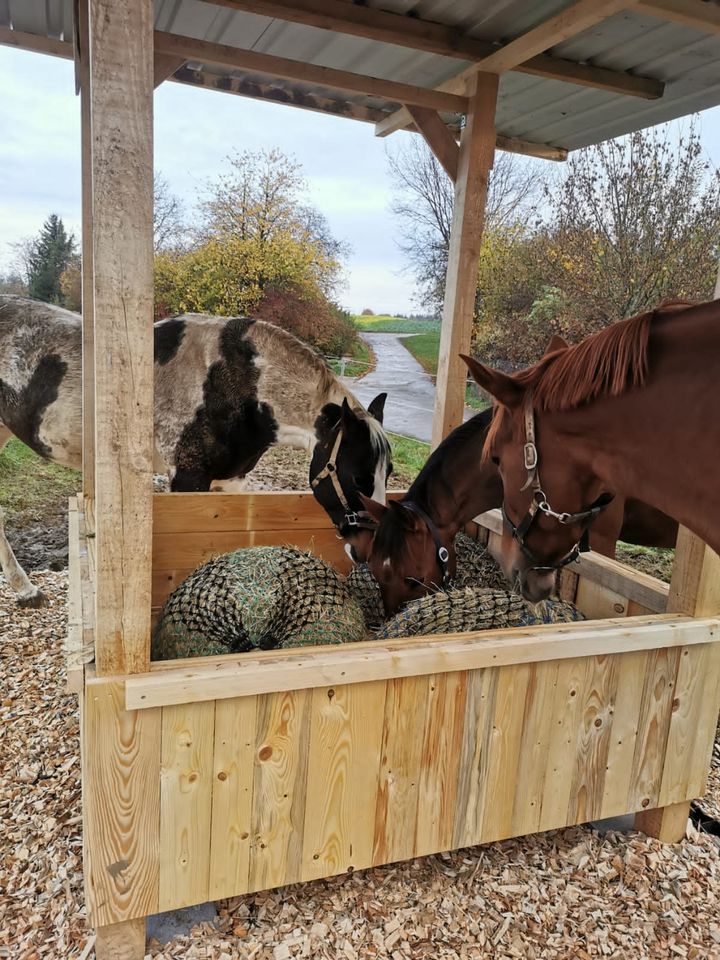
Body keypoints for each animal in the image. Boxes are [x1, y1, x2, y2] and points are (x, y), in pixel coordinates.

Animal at [0, 296, 390, 604]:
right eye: (357, 477)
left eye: (388, 475)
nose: (369, 550)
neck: (232, 384)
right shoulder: (187, 479)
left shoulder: (232, 481)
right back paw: (27, 589)